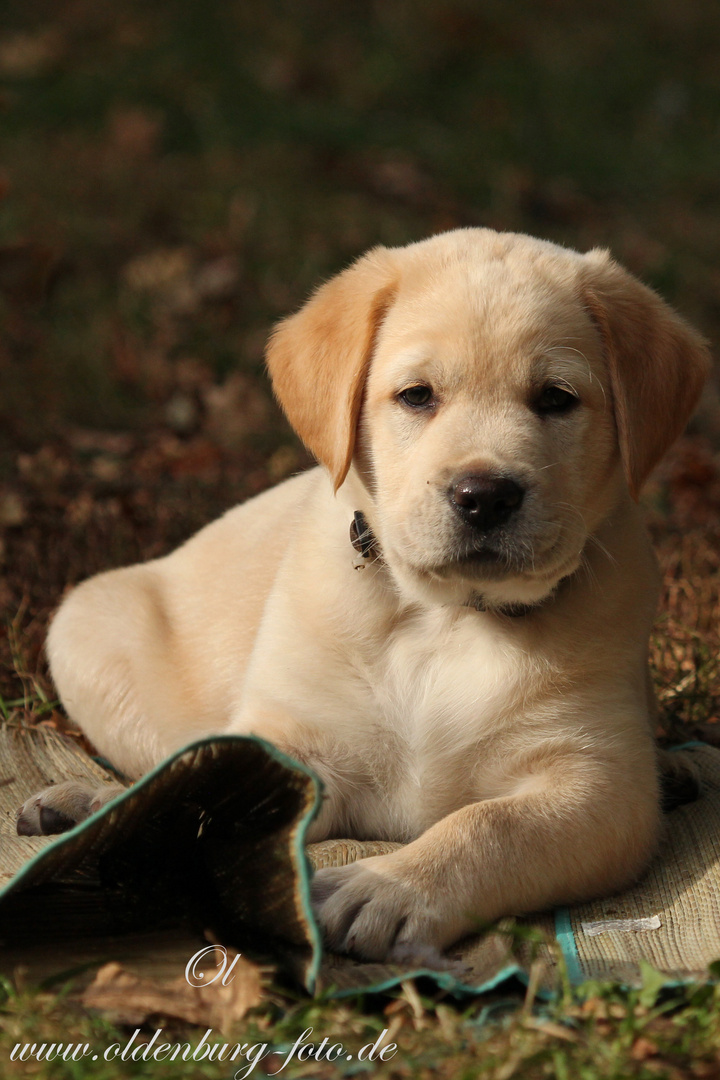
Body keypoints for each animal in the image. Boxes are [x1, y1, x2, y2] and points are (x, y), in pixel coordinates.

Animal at [16, 225, 708, 963]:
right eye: (416, 395)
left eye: (556, 398)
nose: (485, 495)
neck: (446, 619)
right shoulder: (294, 743)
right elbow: (207, 782)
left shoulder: (599, 785)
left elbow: (491, 824)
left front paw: (389, 888)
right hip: (83, 625)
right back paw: (91, 804)